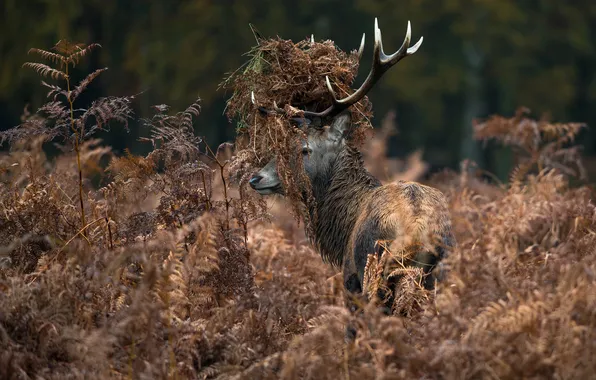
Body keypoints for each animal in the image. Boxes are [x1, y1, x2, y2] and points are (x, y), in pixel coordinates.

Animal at [247, 17, 456, 314]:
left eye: (304, 149)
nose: (256, 178)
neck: (343, 229)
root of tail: (418, 233)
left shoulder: (350, 280)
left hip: (376, 275)